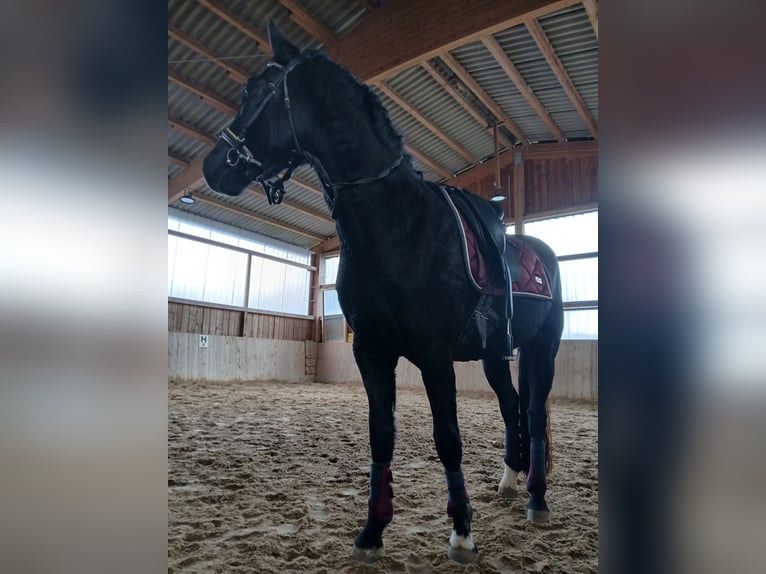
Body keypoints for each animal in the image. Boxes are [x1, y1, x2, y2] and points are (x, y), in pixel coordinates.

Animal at [202, 23, 564, 568]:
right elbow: (381, 438)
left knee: (536, 414)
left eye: (252, 90)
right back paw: (508, 481)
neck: (395, 223)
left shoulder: (434, 357)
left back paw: (537, 500)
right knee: (512, 407)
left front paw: (462, 534)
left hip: (543, 350)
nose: (212, 166)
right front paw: (372, 531)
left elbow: (448, 440)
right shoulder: (371, 352)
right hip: (494, 357)